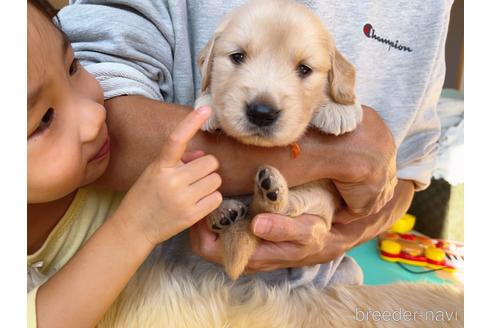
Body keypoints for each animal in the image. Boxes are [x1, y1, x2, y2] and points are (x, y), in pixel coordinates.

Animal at [195, 0, 362, 280]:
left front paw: (340, 108)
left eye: (304, 69)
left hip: (319, 202)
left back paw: (268, 192)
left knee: (276, 209)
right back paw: (223, 211)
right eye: (237, 57)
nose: (262, 113)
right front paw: (207, 104)